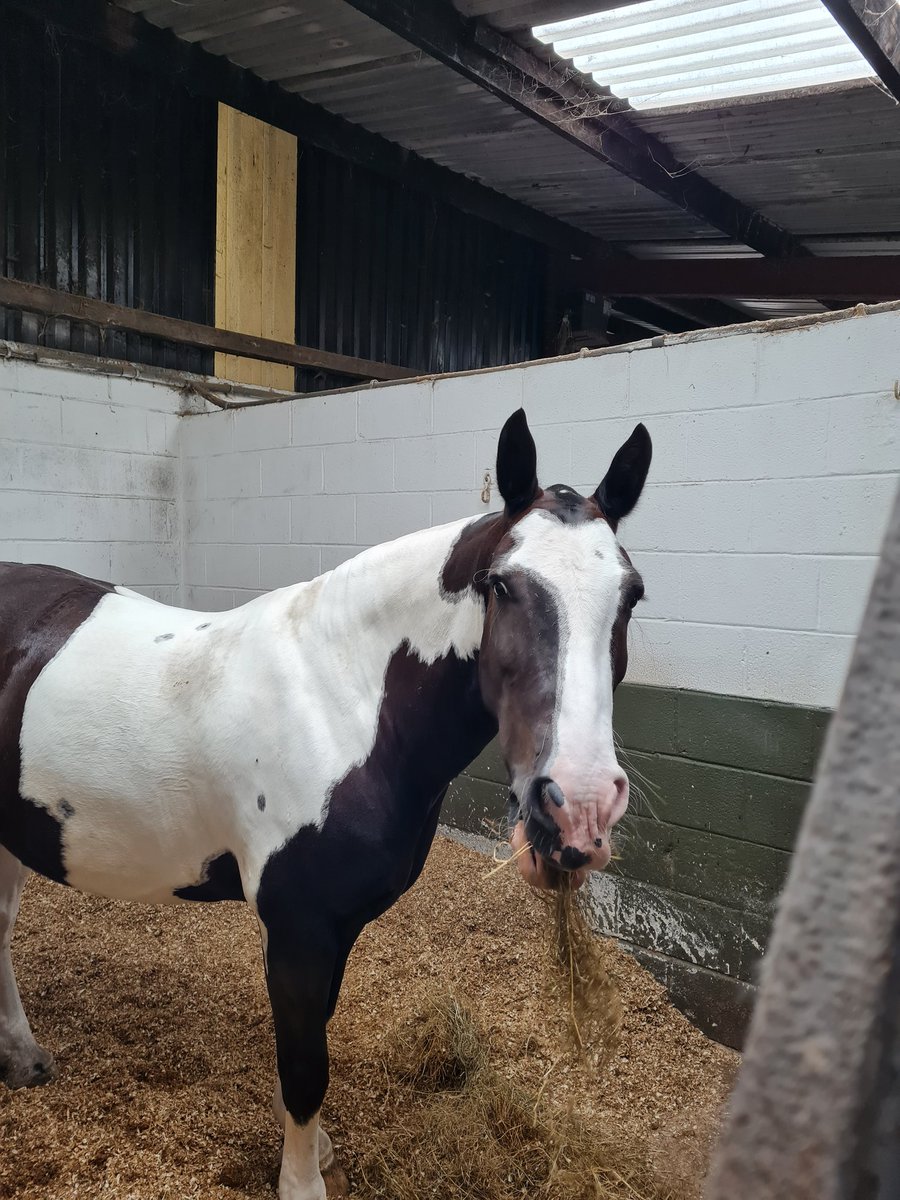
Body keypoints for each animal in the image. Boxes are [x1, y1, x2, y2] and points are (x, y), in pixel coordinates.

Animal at [0, 408, 651, 1199]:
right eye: (501, 586)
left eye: (632, 594)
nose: (579, 806)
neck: (340, 700)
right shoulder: (299, 928)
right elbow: (306, 1066)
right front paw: (302, 1181)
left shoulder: (335, 930)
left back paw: (22, 1057)